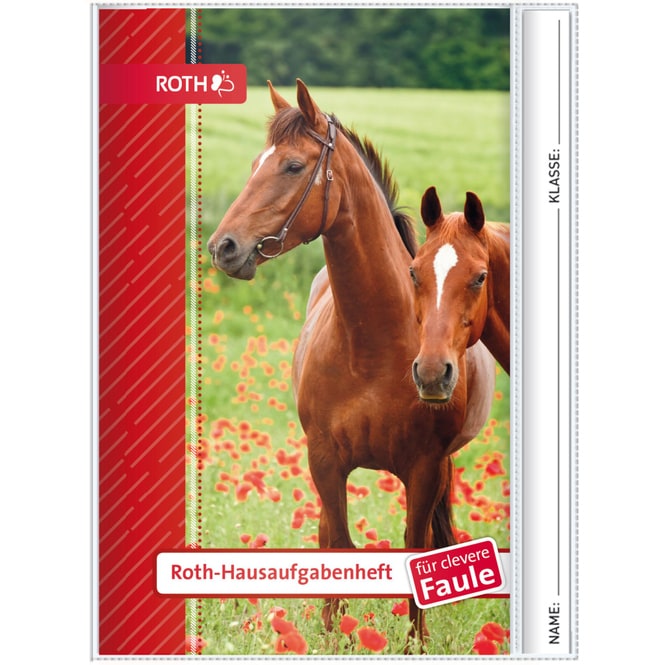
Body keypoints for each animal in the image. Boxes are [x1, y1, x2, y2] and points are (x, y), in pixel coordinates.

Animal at [207, 80, 496, 651]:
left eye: (293, 166)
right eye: (254, 163)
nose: (222, 247)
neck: (373, 347)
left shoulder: (424, 467)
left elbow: (415, 550)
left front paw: (414, 644)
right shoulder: (324, 460)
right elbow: (338, 543)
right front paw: (334, 637)